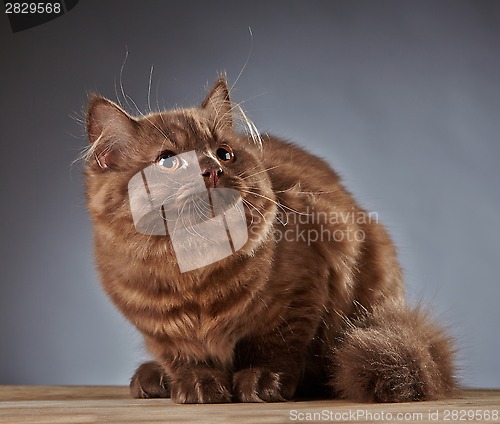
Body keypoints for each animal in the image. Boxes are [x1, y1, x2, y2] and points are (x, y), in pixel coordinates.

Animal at [84, 77, 456, 404]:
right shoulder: (159, 329)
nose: (212, 170)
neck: (195, 265)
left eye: (223, 153)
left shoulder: (301, 293)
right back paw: (152, 378)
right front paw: (198, 385)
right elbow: (186, 359)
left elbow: (275, 348)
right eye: (168, 161)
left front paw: (261, 382)